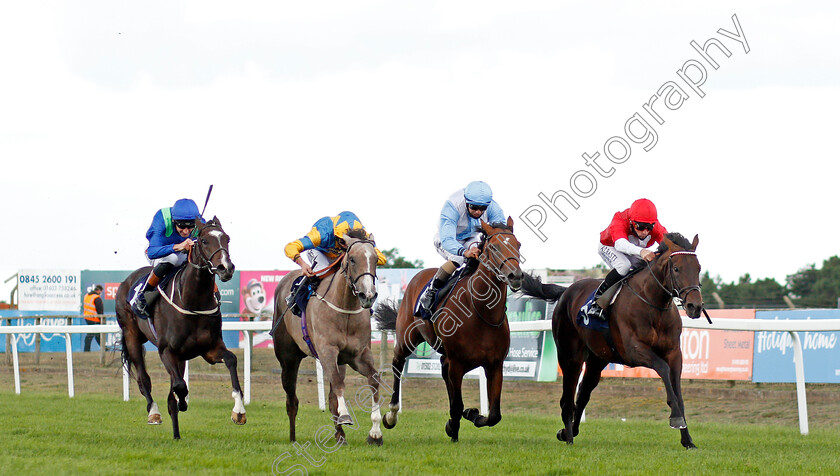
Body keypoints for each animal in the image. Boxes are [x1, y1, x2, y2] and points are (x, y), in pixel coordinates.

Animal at [113, 216, 243, 438]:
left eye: (227, 239)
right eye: (204, 241)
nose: (225, 268)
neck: (193, 301)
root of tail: (126, 282)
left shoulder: (210, 349)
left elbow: (231, 360)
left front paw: (239, 411)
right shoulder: (167, 350)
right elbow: (180, 386)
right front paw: (178, 403)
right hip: (132, 337)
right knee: (143, 379)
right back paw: (154, 412)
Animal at [270, 231, 384, 446]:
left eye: (375, 260)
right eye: (352, 259)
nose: (368, 295)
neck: (344, 309)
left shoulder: (358, 356)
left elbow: (373, 379)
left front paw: (375, 432)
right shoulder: (327, 351)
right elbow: (339, 384)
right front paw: (346, 416)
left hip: (339, 362)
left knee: (331, 397)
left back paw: (340, 435)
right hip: (288, 359)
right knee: (291, 399)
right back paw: (292, 437)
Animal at [380, 219, 524, 442]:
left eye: (518, 245)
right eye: (493, 247)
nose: (515, 275)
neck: (481, 311)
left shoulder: (495, 364)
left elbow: (494, 415)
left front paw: (471, 415)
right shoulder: (457, 362)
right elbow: (457, 404)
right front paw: (454, 428)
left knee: (442, 370)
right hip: (407, 337)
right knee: (397, 364)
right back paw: (391, 414)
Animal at [520, 232, 704, 448]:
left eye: (698, 268)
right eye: (676, 269)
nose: (695, 306)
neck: (653, 305)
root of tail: (565, 291)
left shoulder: (674, 352)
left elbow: (678, 392)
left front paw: (687, 439)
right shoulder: (634, 350)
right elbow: (663, 369)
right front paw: (675, 418)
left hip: (597, 359)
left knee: (583, 393)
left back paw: (567, 432)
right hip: (570, 355)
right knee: (567, 398)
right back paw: (569, 437)